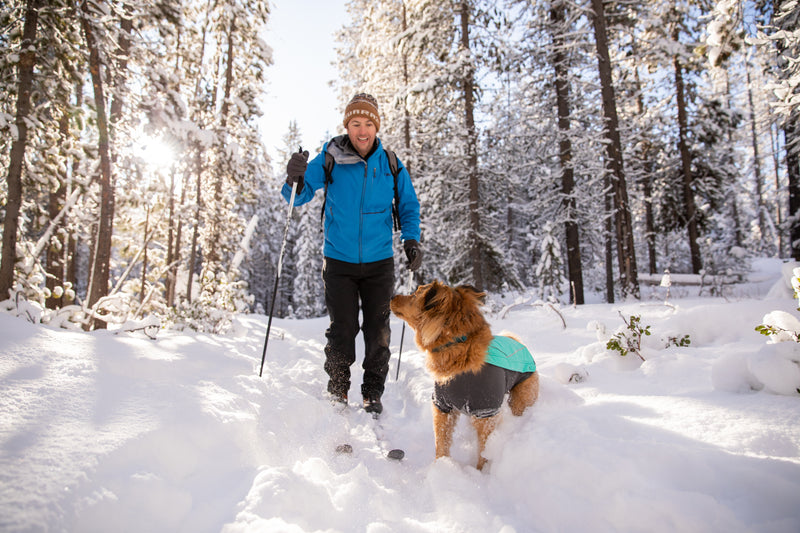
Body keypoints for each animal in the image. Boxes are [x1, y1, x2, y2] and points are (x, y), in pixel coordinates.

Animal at [388, 280, 536, 468]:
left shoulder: (486, 413)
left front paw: (481, 473)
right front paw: (441, 466)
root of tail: (517, 342)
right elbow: (441, 443)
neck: (457, 346)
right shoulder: (443, 407)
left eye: (416, 294)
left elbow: (484, 454)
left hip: (521, 399)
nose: (392, 296)